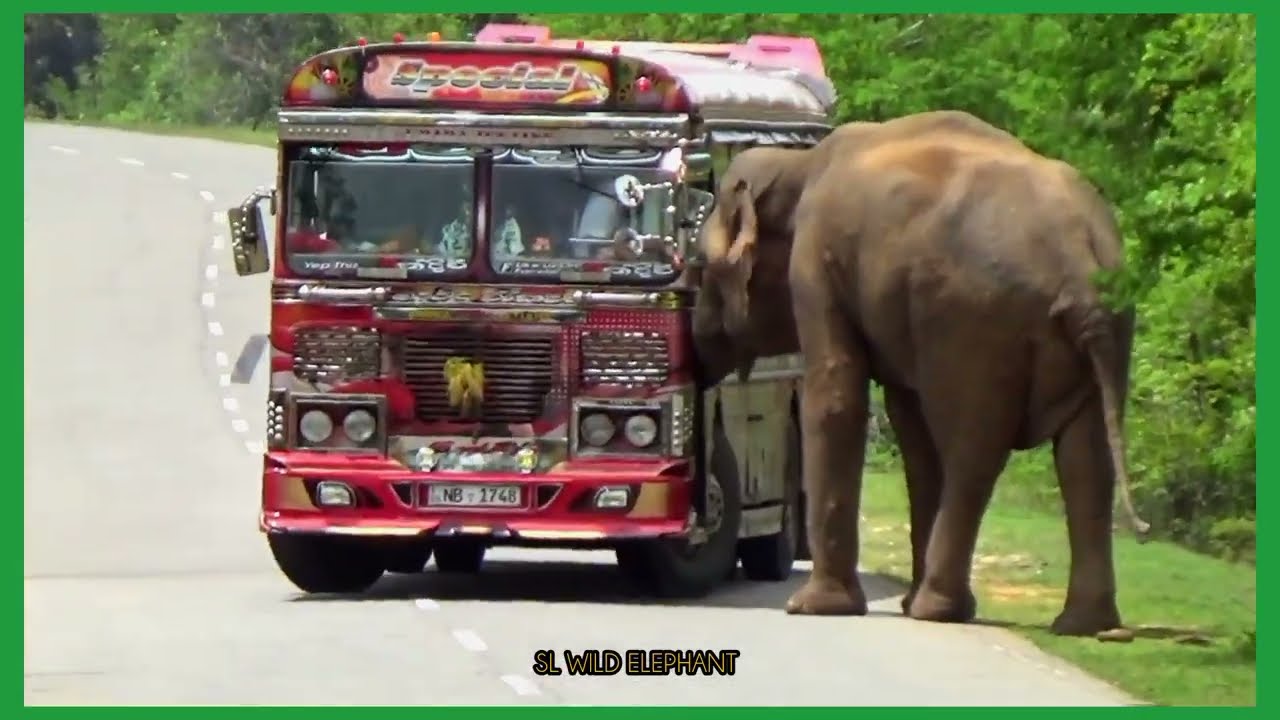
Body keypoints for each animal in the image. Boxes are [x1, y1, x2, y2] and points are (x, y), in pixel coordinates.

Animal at [691, 110, 1149, 637]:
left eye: (698, 264)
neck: (798, 163)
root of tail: (1078, 261)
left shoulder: (815, 261)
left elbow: (837, 398)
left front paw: (813, 607)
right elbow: (910, 425)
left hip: (974, 320)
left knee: (972, 452)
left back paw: (937, 609)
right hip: (1108, 327)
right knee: (1085, 458)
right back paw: (1082, 626)